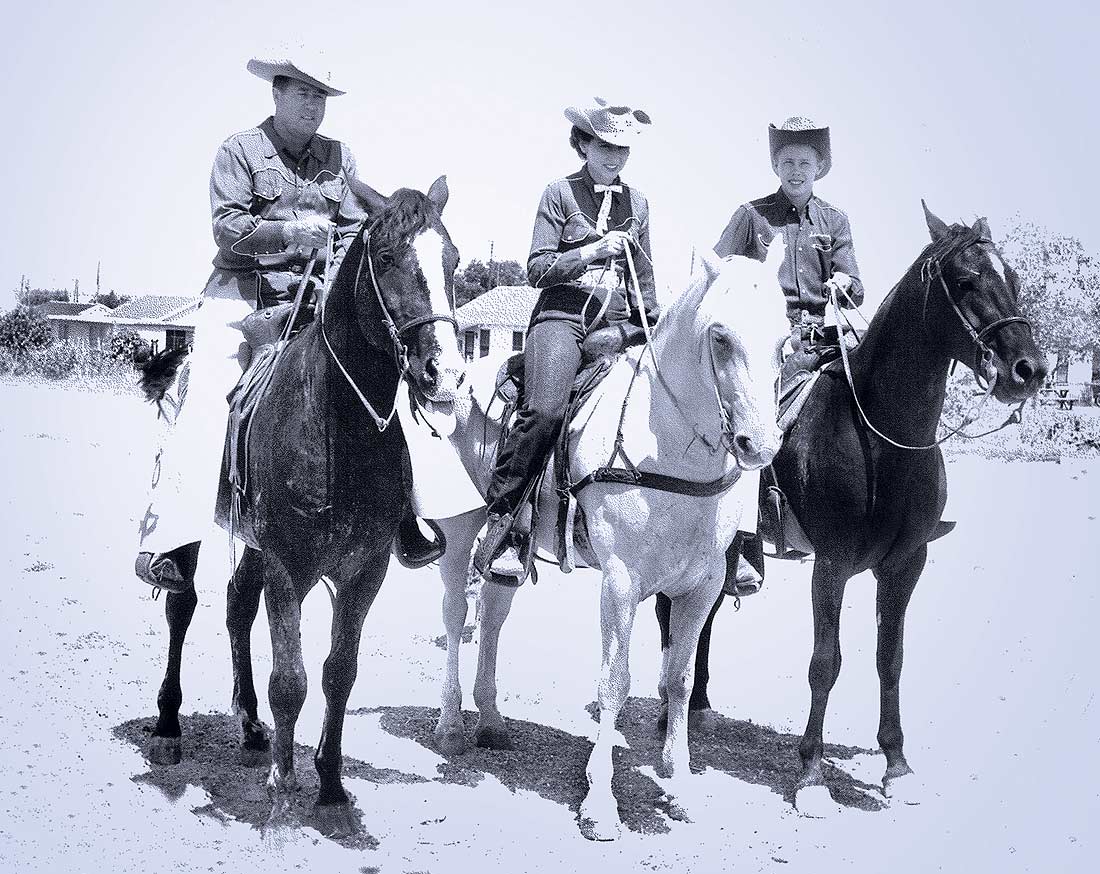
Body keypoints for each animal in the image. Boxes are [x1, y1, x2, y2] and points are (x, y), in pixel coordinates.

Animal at [144, 175, 462, 835]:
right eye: (386, 256)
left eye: (453, 261)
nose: (444, 375)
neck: (336, 425)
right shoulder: (289, 566)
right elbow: (289, 679)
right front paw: (284, 791)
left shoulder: (364, 572)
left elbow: (339, 673)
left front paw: (331, 783)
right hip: (197, 531)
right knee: (182, 608)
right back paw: (167, 727)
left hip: (256, 545)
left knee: (237, 606)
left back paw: (249, 727)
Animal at [429, 244, 792, 839]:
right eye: (720, 337)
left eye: (784, 340)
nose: (758, 444)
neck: (668, 452)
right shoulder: (621, 583)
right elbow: (614, 684)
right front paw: (600, 802)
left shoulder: (702, 588)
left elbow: (679, 680)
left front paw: (681, 783)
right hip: (460, 531)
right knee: (455, 613)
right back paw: (451, 723)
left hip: (506, 550)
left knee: (494, 612)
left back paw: (492, 720)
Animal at [655, 203, 1042, 813]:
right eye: (966, 280)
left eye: (1016, 281)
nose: (1029, 369)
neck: (883, 440)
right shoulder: (832, 563)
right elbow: (825, 662)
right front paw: (812, 774)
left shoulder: (906, 564)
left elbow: (891, 658)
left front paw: (897, 764)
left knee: (703, 615)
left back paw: (698, 707)